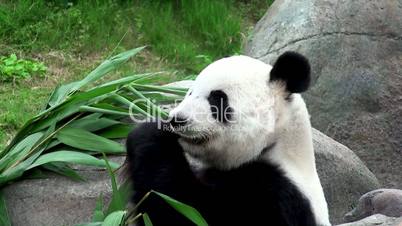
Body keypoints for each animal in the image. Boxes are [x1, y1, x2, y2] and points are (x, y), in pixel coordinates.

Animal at [127, 52, 332, 225]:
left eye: (217, 98)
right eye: (190, 93)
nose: (177, 119)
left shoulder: (278, 197)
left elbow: (191, 211)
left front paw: (151, 132)